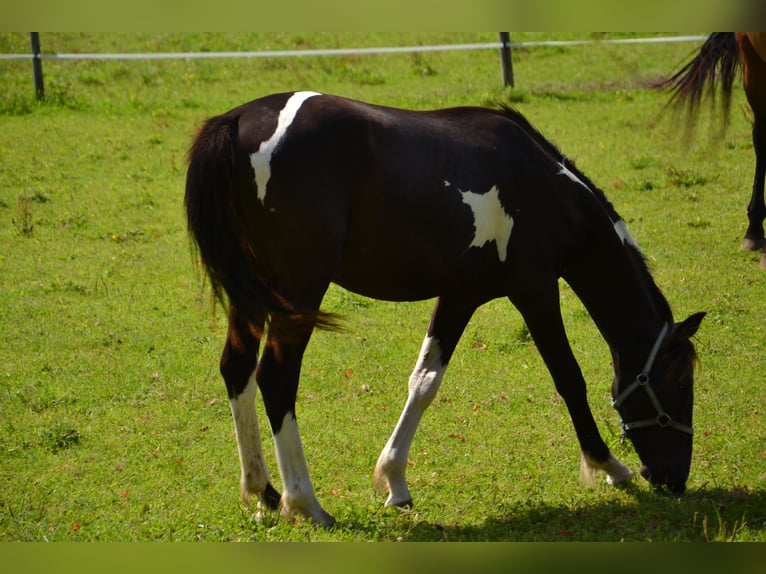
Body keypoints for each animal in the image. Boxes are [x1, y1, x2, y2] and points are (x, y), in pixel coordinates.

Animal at [186, 92, 708, 528]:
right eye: (683, 383)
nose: (673, 478)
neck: (548, 189)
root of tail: (239, 119)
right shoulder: (535, 290)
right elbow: (569, 378)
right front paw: (611, 468)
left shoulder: (460, 295)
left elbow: (424, 380)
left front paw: (394, 481)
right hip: (298, 293)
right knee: (276, 379)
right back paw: (305, 502)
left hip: (253, 292)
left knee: (236, 370)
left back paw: (264, 493)